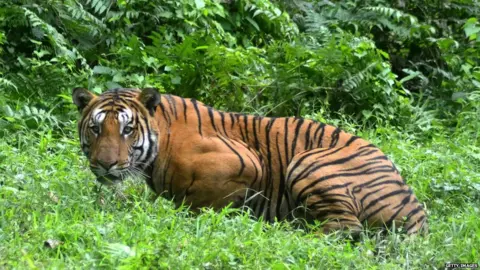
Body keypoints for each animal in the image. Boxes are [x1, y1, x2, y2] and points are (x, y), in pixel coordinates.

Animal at [73, 87, 430, 235]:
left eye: (127, 129)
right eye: (96, 128)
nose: (105, 164)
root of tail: (415, 208)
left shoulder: (245, 162)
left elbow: (201, 203)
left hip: (309, 161)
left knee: (346, 228)